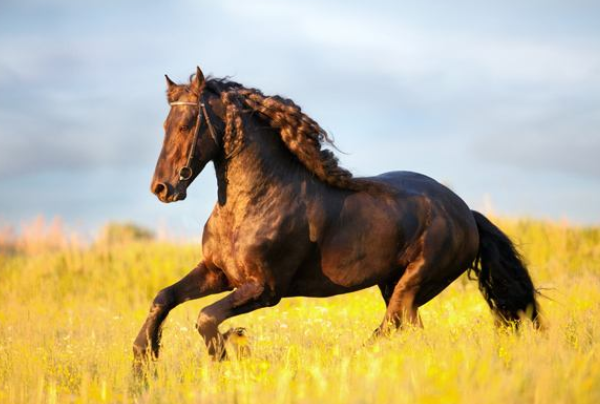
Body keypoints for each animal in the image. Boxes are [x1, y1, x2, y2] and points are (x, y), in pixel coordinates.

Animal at [134, 68, 540, 364]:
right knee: (408, 329)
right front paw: (143, 361)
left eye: (187, 124)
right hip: (394, 284)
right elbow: (163, 298)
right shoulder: (218, 273)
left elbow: (206, 317)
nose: (162, 188)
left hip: (414, 283)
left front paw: (231, 349)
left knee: (391, 325)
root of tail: (465, 212)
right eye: (164, 126)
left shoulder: (265, 289)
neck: (252, 204)